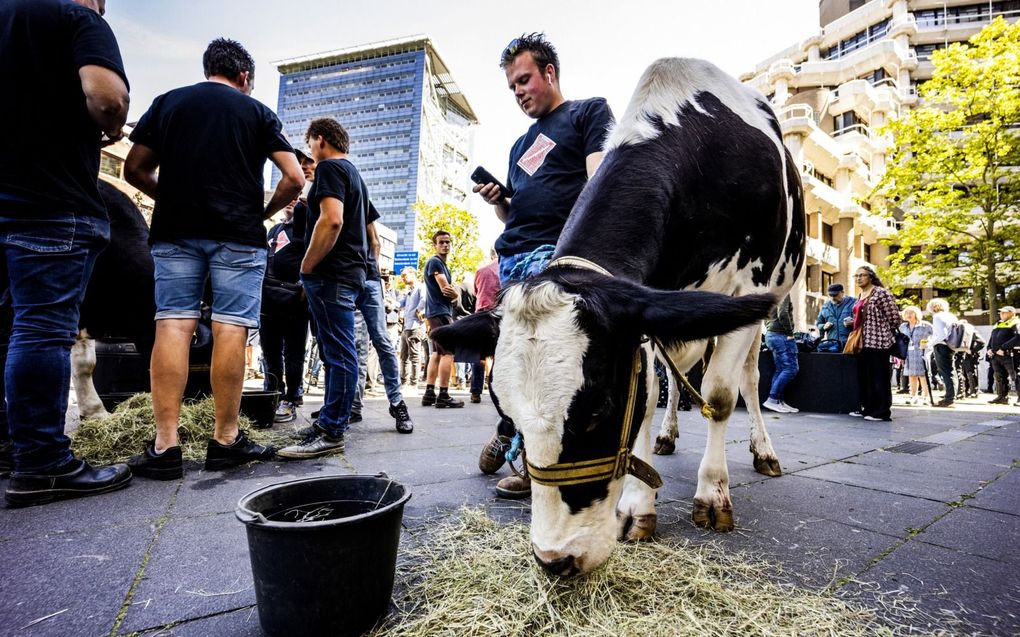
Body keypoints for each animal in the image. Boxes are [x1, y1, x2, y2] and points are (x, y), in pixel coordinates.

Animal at [430, 58, 803, 574]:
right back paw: (667, 437)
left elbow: (720, 396)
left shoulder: (747, 290)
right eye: (508, 416)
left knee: (747, 380)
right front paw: (637, 506)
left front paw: (712, 494)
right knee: (674, 378)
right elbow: (645, 397)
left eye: (597, 411)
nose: (555, 559)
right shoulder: (648, 311)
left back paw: (762, 450)